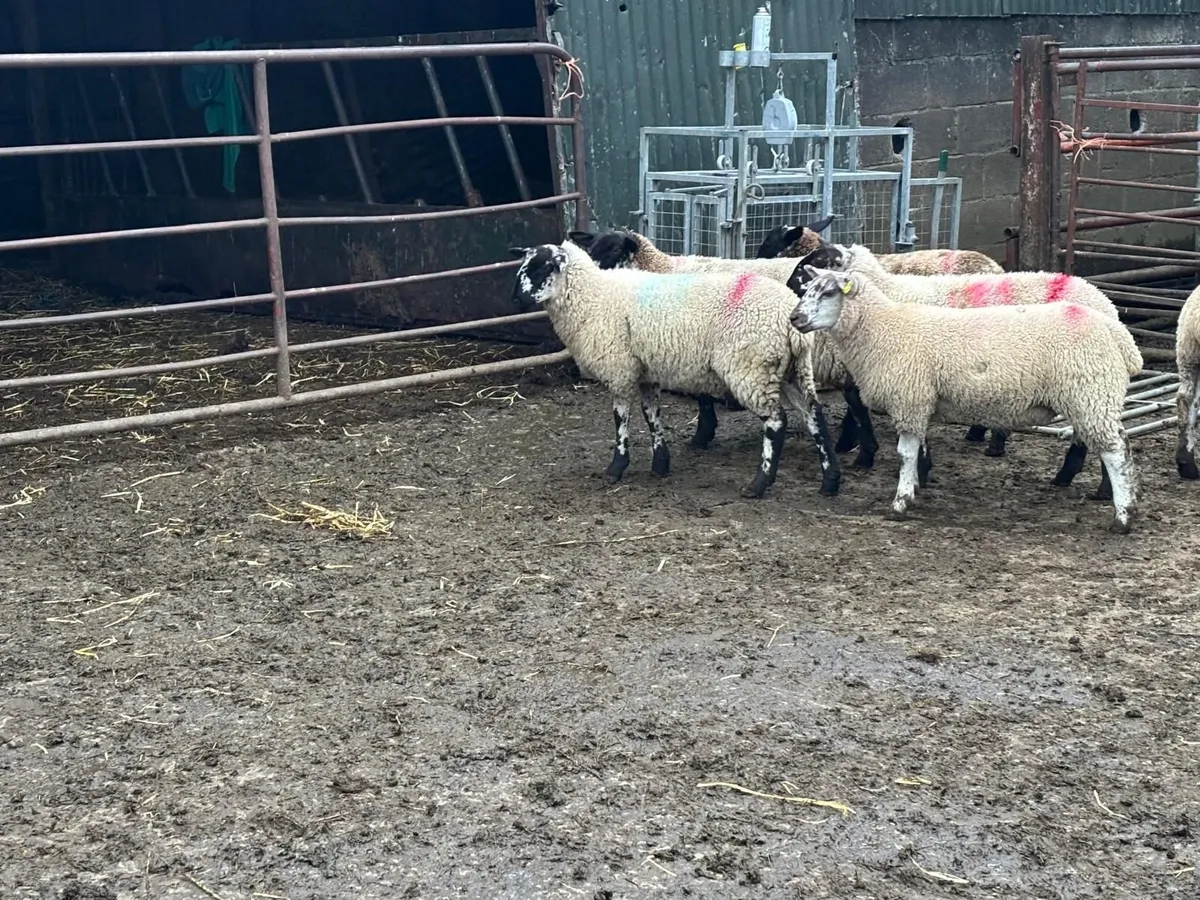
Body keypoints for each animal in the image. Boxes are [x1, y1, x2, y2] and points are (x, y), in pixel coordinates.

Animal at [508, 241, 842, 499]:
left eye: (542, 267)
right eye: (524, 264)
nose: (515, 300)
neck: (593, 297)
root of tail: (791, 323)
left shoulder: (619, 368)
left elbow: (620, 419)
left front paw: (616, 467)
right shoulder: (645, 371)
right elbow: (652, 416)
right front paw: (660, 464)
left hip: (751, 368)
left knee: (776, 422)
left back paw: (759, 484)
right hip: (793, 370)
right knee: (813, 414)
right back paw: (830, 481)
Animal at [566, 227, 871, 461]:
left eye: (614, 251)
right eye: (591, 249)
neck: (661, 269)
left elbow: (702, 398)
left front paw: (702, 435)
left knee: (856, 399)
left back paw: (853, 446)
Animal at [789, 266, 1143, 533]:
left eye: (828, 292)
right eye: (808, 289)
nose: (794, 318)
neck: (883, 328)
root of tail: (1116, 330)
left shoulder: (909, 399)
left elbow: (904, 454)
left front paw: (899, 503)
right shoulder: (921, 401)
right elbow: (916, 451)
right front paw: (914, 488)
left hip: (1090, 393)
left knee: (1115, 452)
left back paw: (1122, 516)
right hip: (1094, 398)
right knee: (1119, 445)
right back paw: (1116, 498)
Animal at [799, 242, 1128, 483]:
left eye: (809, 270)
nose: (793, 312)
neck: (888, 295)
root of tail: (1106, 305)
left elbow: (858, 412)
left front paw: (860, 454)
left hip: (1083, 383)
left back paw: (1068, 475)